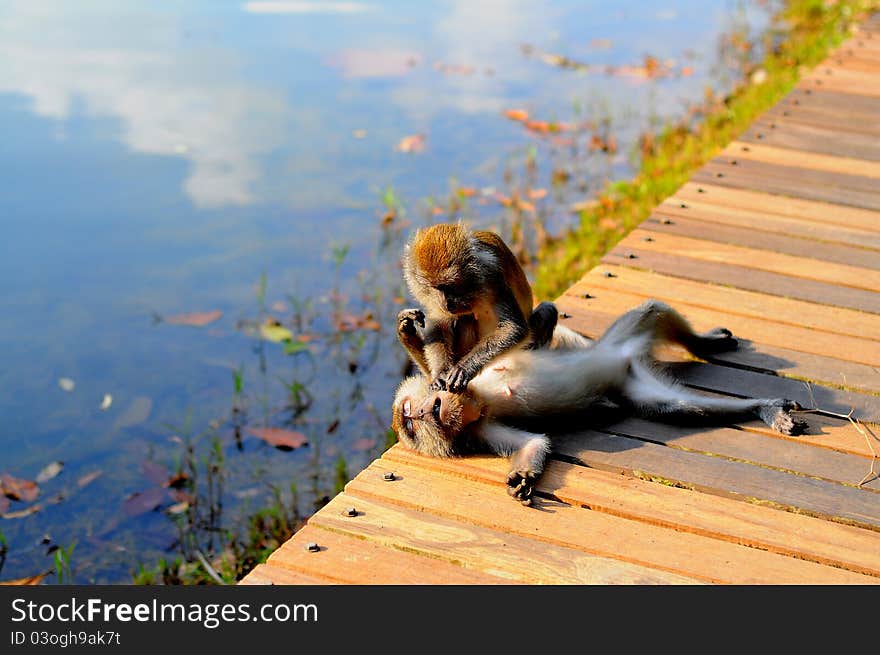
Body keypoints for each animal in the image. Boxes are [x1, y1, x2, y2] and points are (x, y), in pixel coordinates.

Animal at [392, 300, 804, 504]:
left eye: (416, 415)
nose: (430, 409)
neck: (477, 399)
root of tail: (626, 358)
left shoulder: (460, 376)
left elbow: (456, 357)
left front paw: (409, 332)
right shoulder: (480, 428)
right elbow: (534, 442)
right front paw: (524, 476)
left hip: (620, 338)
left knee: (652, 310)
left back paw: (704, 344)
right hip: (633, 379)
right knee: (676, 406)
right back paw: (759, 407)